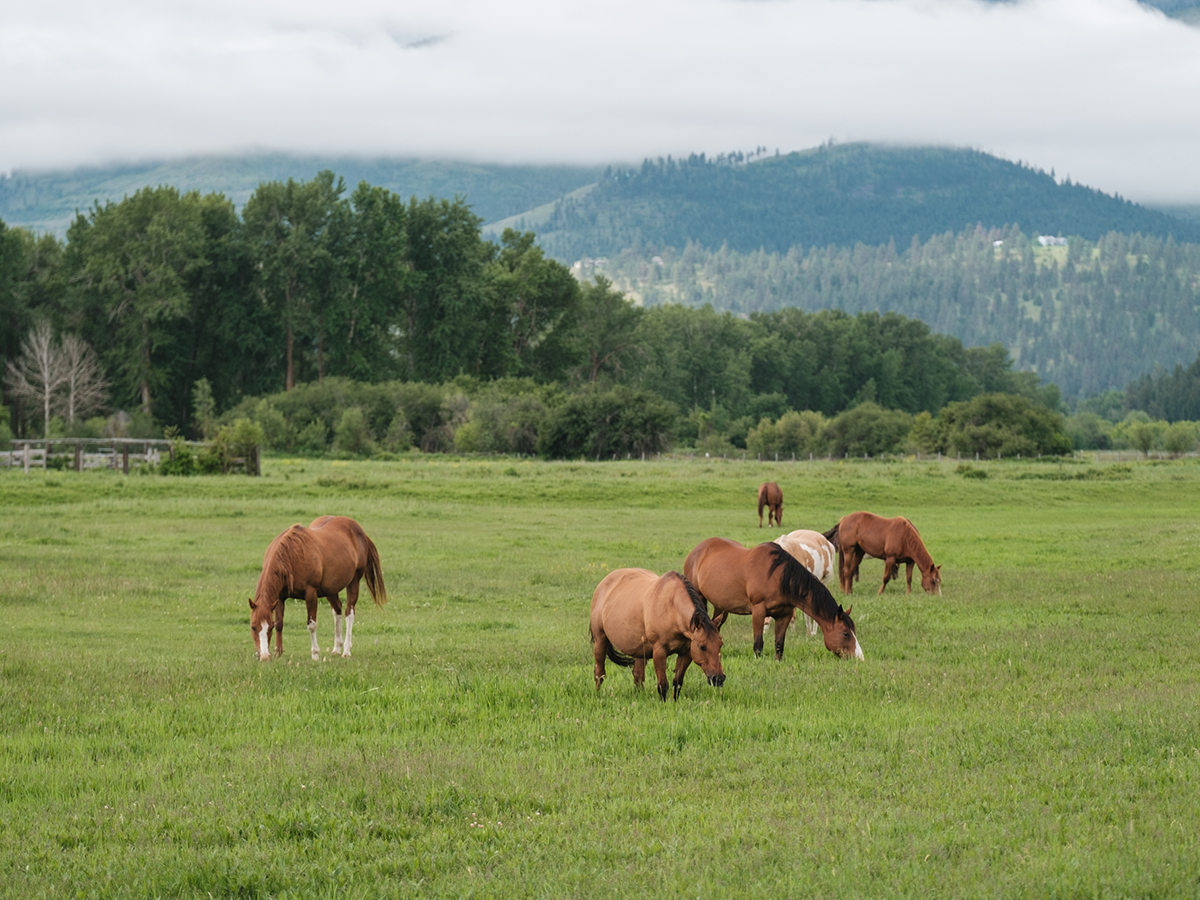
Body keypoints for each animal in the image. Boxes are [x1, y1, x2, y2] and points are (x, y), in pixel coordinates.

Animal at [248, 516, 386, 661]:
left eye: (269, 628)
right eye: (253, 627)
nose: (263, 656)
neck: (291, 556)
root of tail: (359, 530)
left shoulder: (311, 594)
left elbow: (311, 625)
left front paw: (315, 654)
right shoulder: (279, 597)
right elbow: (280, 623)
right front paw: (278, 652)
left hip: (354, 582)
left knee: (349, 613)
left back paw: (346, 650)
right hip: (330, 589)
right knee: (337, 609)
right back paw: (336, 648)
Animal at [590, 569, 725, 701]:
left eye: (720, 644)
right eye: (702, 646)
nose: (718, 678)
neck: (672, 609)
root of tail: (603, 584)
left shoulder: (686, 653)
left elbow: (677, 682)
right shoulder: (659, 652)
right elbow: (662, 685)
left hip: (640, 650)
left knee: (638, 674)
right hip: (600, 640)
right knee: (599, 673)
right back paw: (597, 694)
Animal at [684, 537, 862, 661]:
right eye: (846, 633)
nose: (859, 658)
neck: (779, 577)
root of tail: (696, 551)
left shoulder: (784, 615)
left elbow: (779, 644)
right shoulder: (758, 611)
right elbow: (758, 644)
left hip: (721, 606)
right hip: (700, 598)